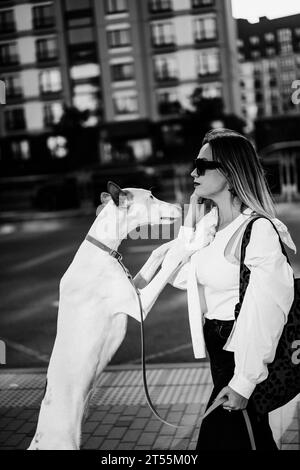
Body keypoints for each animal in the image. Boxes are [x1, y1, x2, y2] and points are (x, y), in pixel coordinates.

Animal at [28, 182, 184, 450]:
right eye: (151, 197)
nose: (179, 207)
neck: (102, 249)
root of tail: (38, 440)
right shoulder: (139, 305)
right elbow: (167, 267)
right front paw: (191, 244)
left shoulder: (134, 287)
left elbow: (156, 252)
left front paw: (178, 240)